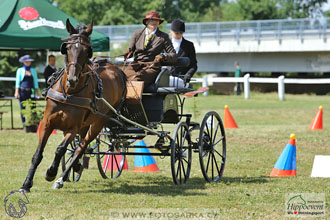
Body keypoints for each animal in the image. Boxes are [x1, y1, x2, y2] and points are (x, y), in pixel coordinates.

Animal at [20, 19, 126, 192]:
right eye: (67, 48)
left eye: (86, 50)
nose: (72, 79)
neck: (69, 93)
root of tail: (116, 69)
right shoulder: (47, 123)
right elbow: (38, 154)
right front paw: (26, 184)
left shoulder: (73, 128)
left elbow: (60, 149)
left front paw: (51, 173)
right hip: (85, 124)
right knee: (79, 146)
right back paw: (75, 167)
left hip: (98, 123)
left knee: (81, 147)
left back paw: (61, 178)